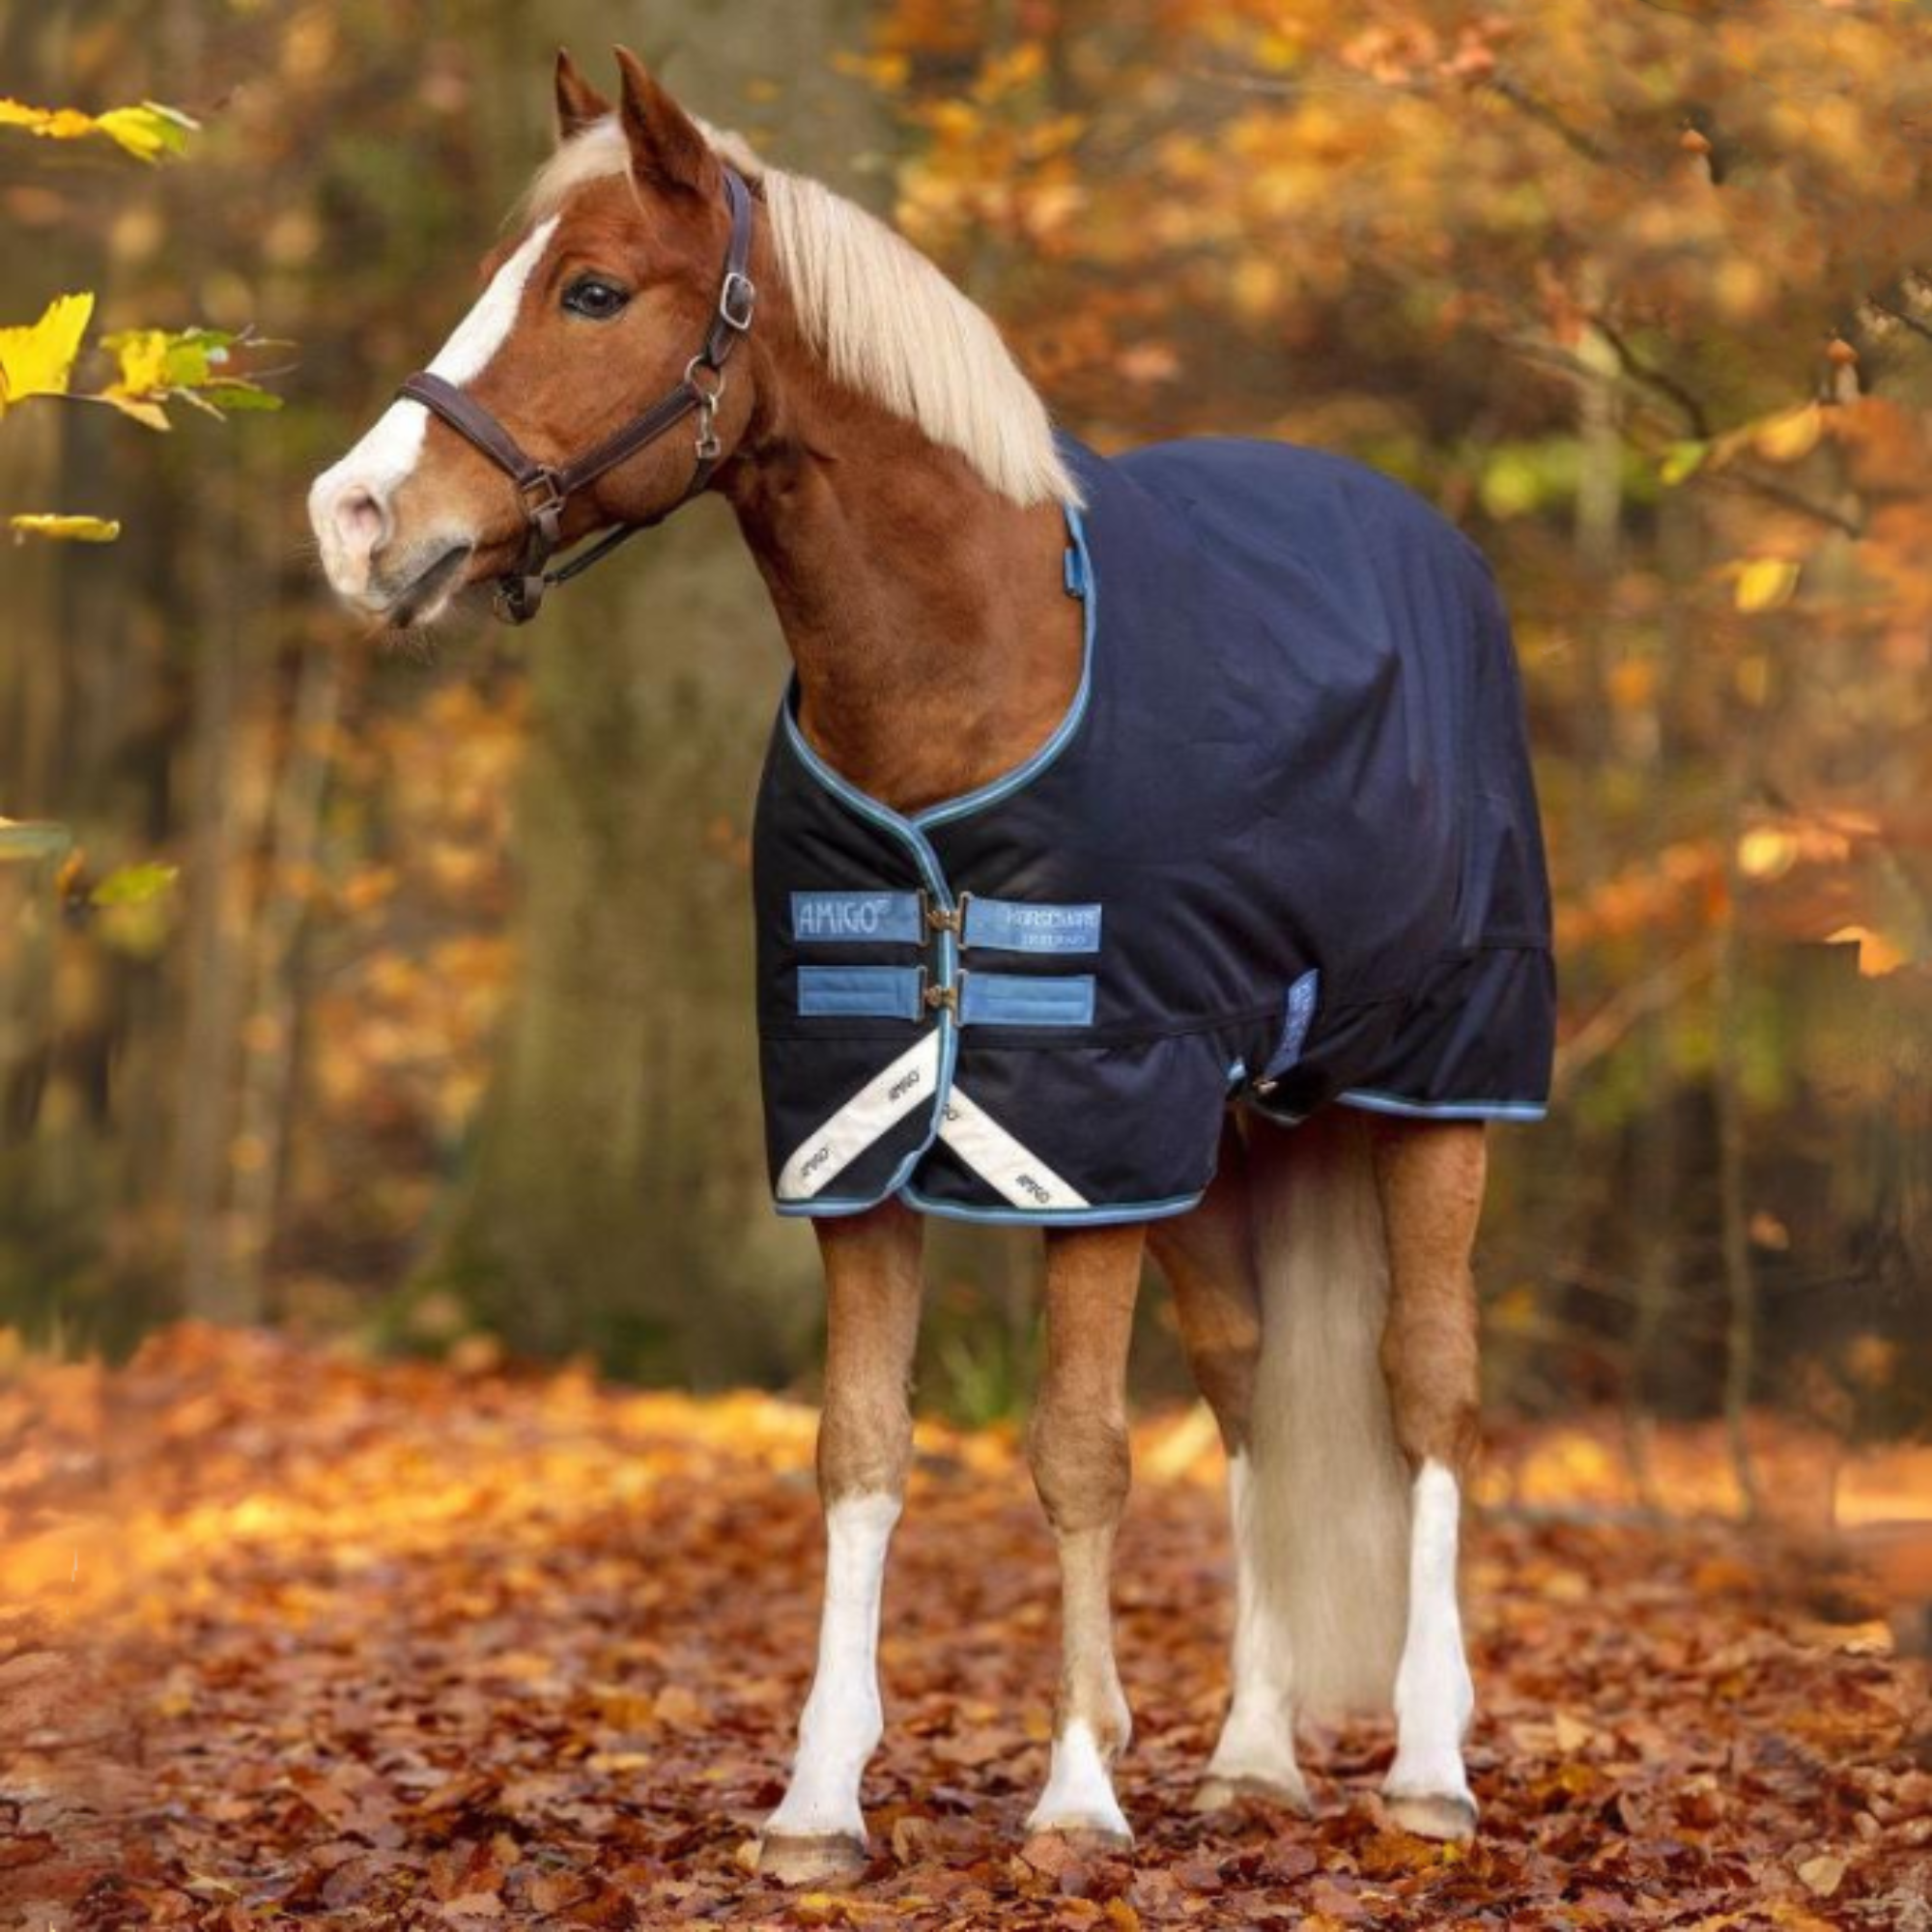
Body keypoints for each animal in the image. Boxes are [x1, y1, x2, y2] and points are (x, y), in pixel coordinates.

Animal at [308, 47, 1554, 1883]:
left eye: (592, 289)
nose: (353, 518)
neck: (970, 672)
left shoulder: (1085, 1146)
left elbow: (1081, 1455)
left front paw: (1078, 1793)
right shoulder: (861, 1138)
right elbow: (861, 1452)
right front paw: (821, 1802)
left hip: (1439, 1090)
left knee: (1428, 1394)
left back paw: (1427, 1769)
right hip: (1225, 1130)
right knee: (1255, 1392)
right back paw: (1253, 1756)